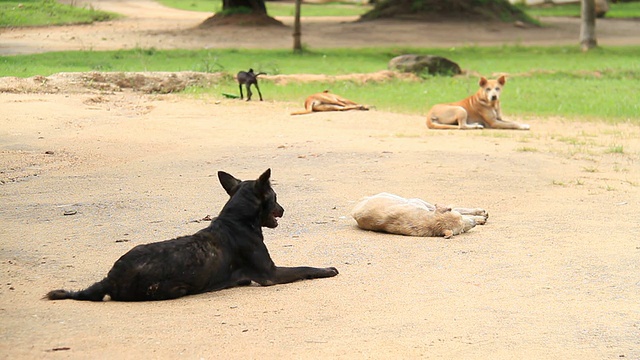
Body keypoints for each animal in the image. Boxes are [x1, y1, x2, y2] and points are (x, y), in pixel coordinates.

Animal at [45, 169, 340, 300]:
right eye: (276, 196)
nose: (283, 209)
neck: (237, 220)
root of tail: (109, 278)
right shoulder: (271, 274)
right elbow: (305, 268)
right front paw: (327, 269)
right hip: (173, 288)